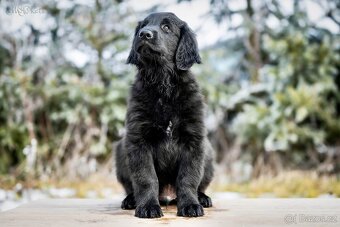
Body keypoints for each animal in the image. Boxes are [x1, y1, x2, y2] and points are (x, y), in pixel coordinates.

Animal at [115, 12, 214, 218]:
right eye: (143, 26)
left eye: (166, 28)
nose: (144, 34)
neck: (162, 83)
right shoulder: (138, 140)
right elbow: (146, 178)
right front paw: (148, 206)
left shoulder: (194, 140)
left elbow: (188, 177)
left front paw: (190, 205)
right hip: (121, 149)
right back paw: (131, 200)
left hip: (208, 152)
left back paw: (201, 197)